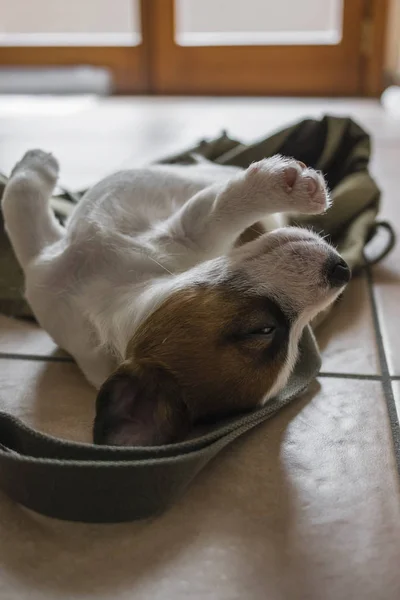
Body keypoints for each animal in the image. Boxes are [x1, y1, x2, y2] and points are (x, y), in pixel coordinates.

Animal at [0, 150, 350, 446]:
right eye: (262, 330)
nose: (341, 270)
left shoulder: (187, 235)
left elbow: (218, 208)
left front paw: (285, 186)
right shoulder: (42, 267)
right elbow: (19, 198)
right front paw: (35, 165)